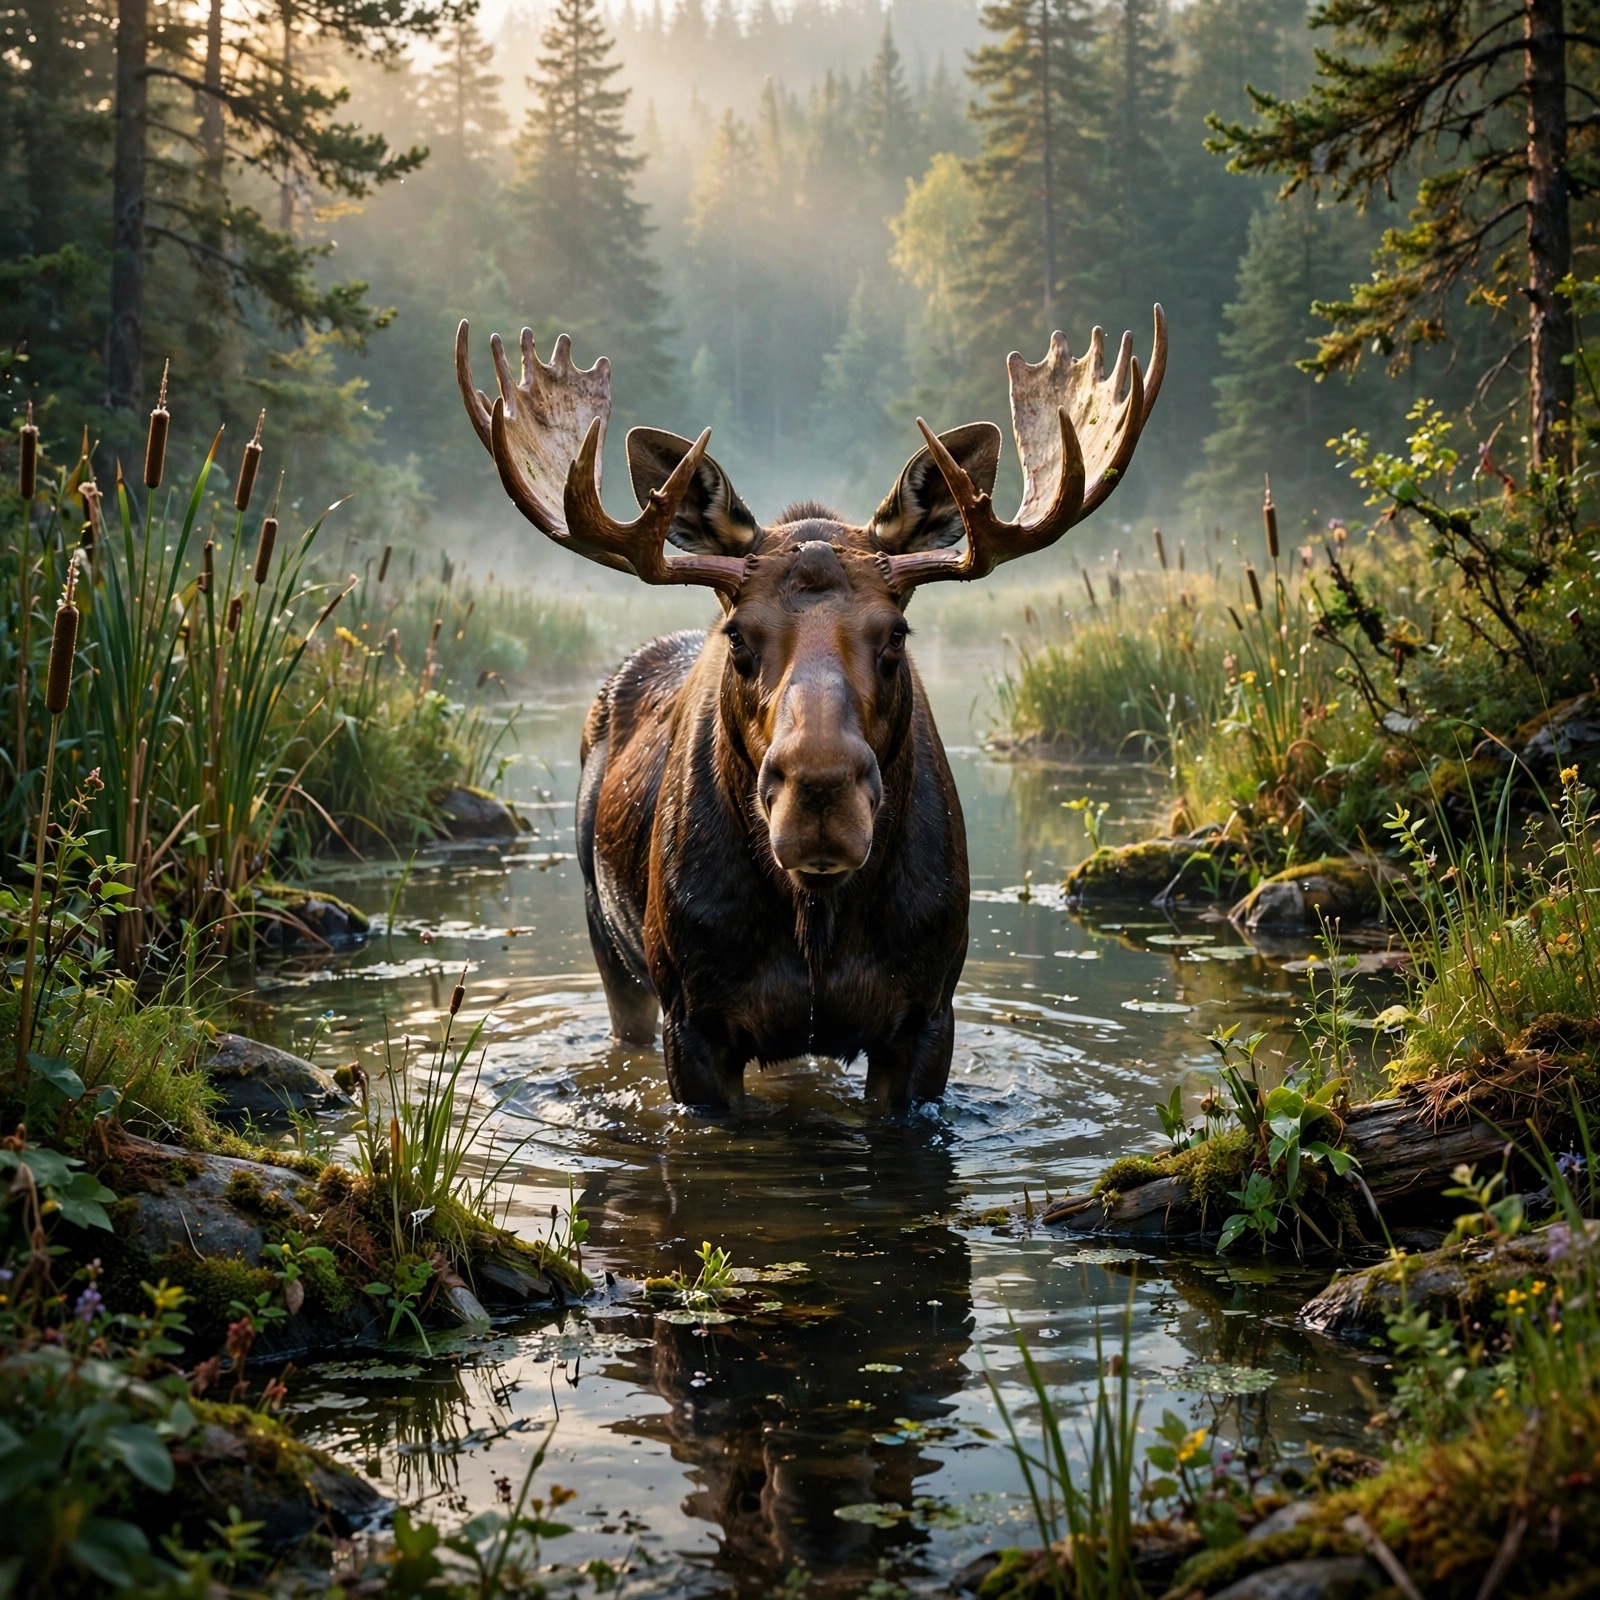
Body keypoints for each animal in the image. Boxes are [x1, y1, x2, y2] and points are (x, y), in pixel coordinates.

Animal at [455, 308, 1165, 1111]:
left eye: (896, 633)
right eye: (738, 635)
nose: (819, 792)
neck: (818, 921)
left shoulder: (927, 1018)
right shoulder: (692, 1023)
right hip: (610, 951)